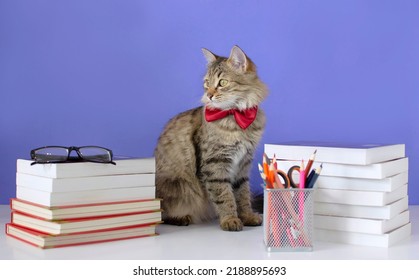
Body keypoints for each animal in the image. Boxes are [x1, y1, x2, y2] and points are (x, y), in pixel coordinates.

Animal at [155, 45, 270, 230]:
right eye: (207, 83)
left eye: (222, 83)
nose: (209, 95)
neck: (235, 117)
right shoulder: (215, 163)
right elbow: (224, 196)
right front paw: (230, 220)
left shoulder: (243, 164)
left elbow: (243, 195)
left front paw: (247, 216)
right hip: (179, 186)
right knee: (163, 214)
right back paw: (182, 218)